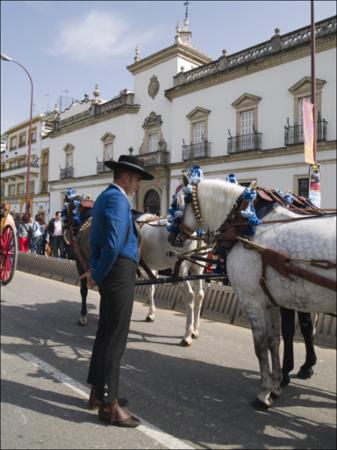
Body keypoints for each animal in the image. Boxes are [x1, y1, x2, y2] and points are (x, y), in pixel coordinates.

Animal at [136, 213, 205, 346]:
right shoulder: (150, 268)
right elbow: (150, 289)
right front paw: (151, 313)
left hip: (181, 270)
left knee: (189, 295)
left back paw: (187, 335)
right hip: (197, 268)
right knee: (199, 295)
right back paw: (195, 330)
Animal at [169, 178, 334, 408]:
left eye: (176, 204)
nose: (171, 236)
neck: (245, 224)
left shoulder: (252, 301)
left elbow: (261, 345)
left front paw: (264, 393)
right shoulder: (271, 302)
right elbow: (275, 341)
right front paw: (275, 386)